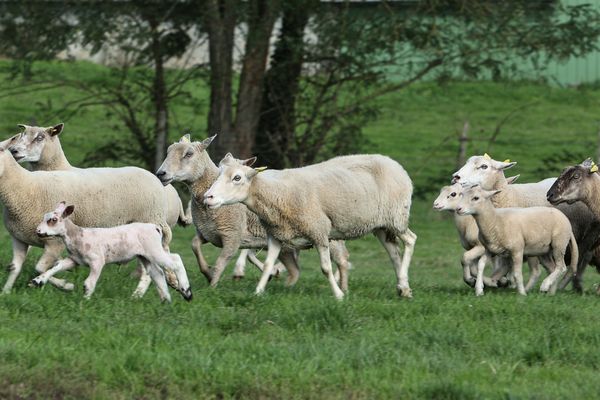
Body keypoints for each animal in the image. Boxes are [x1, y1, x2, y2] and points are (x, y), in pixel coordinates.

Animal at [29, 202, 192, 302]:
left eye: (53, 220)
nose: (38, 231)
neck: (77, 236)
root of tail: (155, 227)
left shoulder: (97, 261)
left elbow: (89, 283)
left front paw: (85, 302)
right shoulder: (74, 259)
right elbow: (56, 267)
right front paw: (38, 280)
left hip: (154, 250)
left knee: (176, 260)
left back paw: (186, 291)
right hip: (145, 255)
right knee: (157, 273)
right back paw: (166, 299)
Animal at [156, 136, 352, 290]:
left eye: (188, 154)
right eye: (168, 151)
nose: (160, 173)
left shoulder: (233, 235)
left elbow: (221, 263)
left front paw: (212, 286)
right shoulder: (208, 233)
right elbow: (194, 246)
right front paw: (206, 272)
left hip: (329, 236)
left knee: (342, 260)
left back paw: (342, 288)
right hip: (288, 244)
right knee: (295, 270)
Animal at [204, 153, 414, 300]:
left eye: (237, 178)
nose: (208, 197)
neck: (277, 193)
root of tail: (395, 164)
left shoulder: (318, 231)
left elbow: (326, 268)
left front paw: (339, 295)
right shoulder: (276, 234)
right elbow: (267, 265)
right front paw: (258, 291)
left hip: (396, 216)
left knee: (410, 241)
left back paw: (403, 281)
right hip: (381, 225)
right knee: (393, 252)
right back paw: (403, 287)